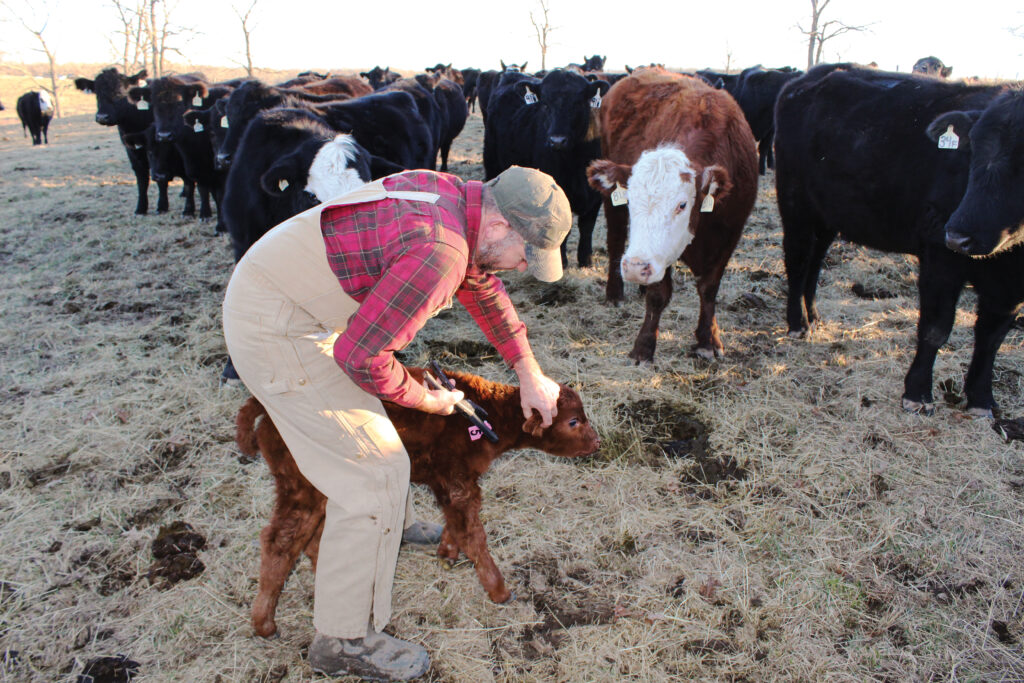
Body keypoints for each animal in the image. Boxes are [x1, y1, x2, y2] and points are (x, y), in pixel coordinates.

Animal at [74, 69, 174, 214]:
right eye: (96, 92)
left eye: (120, 92)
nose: (102, 117)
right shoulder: (131, 150)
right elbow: (141, 178)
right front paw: (141, 208)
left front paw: (162, 206)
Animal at [485, 68, 610, 268]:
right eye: (544, 104)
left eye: (577, 103)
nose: (557, 140)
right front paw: (562, 262)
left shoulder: (595, 193)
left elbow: (587, 226)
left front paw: (586, 260)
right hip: (491, 161)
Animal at [585, 67, 761, 362]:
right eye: (631, 201)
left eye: (681, 205)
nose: (635, 267)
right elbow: (659, 295)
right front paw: (644, 347)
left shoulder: (732, 232)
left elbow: (709, 288)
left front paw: (708, 340)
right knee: (616, 241)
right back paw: (615, 293)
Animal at [774, 63, 1015, 417]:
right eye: (974, 154)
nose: (960, 232)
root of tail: (804, 80)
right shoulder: (940, 253)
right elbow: (935, 328)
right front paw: (917, 394)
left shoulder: (1010, 286)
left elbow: (992, 337)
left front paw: (982, 399)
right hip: (796, 204)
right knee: (798, 259)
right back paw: (798, 323)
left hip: (827, 214)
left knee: (815, 262)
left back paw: (813, 315)